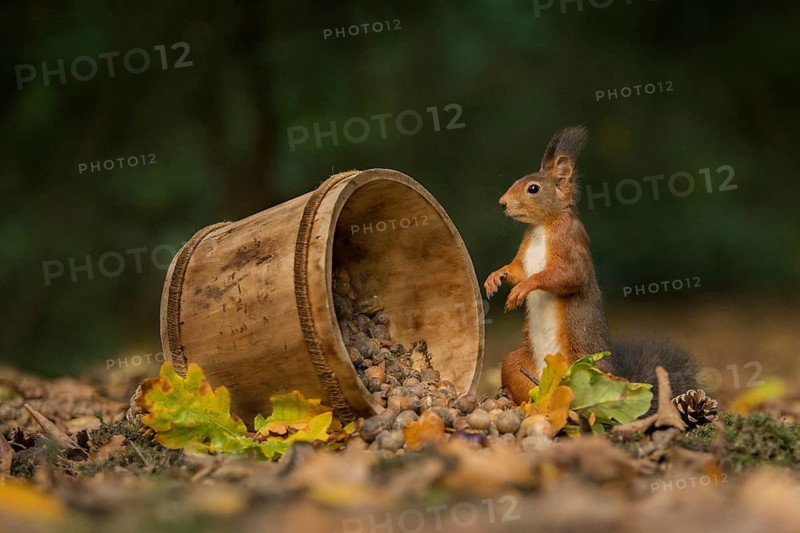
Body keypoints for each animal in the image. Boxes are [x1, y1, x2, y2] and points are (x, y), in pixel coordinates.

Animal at [485, 126, 697, 405]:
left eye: (533, 188)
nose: (502, 203)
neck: (543, 226)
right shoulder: (525, 253)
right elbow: (517, 269)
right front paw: (494, 278)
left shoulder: (572, 248)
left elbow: (565, 277)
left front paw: (521, 290)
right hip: (515, 363)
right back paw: (512, 397)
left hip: (586, 371)